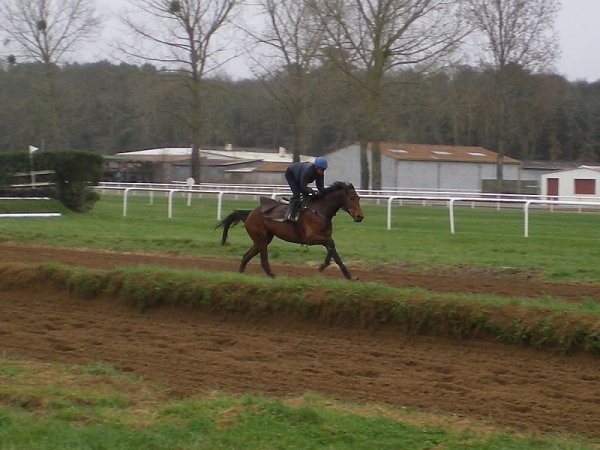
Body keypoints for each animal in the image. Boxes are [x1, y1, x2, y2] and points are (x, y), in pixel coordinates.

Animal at [217, 181, 364, 280]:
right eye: (351, 198)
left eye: (358, 198)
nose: (360, 216)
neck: (320, 211)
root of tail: (250, 213)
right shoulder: (311, 238)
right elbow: (332, 246)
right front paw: (347, 275)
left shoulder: (325, 237)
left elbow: (332, 250)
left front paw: (324, 267)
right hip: (261, 239)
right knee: (263, 259)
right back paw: (272, 275)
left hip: (263, 239)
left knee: (246, 255)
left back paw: (240, 274)